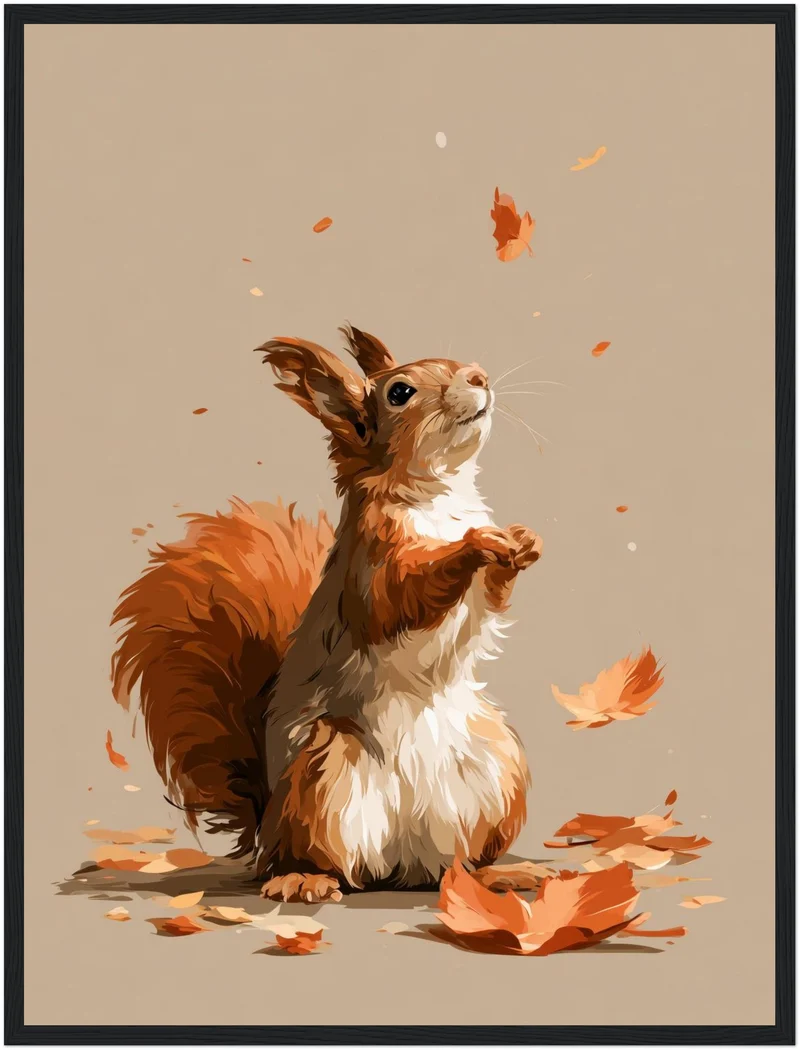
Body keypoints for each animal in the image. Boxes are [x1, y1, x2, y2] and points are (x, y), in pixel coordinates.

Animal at [111, 325, 543, 903]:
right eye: (399, 393)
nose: (479, 377)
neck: (440, 495)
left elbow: (493, 597)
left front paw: (523, 540)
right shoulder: (370, 566)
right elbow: (401, 595)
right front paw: (476, 544)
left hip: (497, 772)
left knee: (456, 865)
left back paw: (495, 875)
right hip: (320, 779)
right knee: (318, 860)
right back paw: (303, 880)